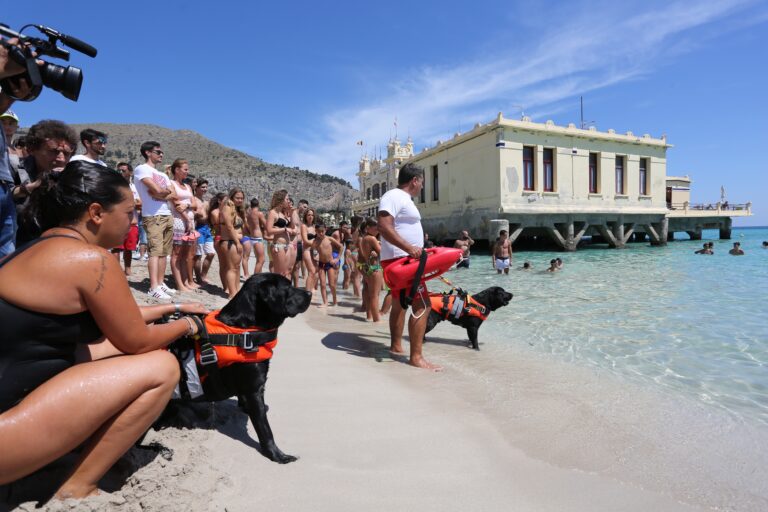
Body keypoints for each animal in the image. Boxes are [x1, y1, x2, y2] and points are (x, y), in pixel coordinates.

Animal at [161, 276, 308, 464]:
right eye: (288, 288)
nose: (310, 293)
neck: (244, 331)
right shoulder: (254, 390)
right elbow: (265, 429)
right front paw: (276, 454)